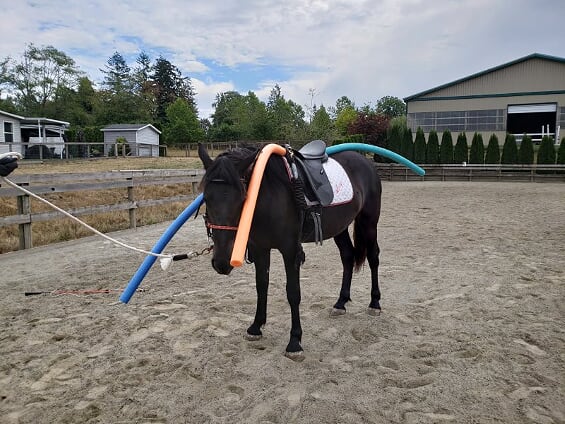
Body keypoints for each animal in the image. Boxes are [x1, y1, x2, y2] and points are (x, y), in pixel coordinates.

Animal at [198, 142, 382, 361]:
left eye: (242, 196)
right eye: (206, 197)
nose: (222, 262)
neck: (270, 196)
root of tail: (365, 162)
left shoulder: (290, 251)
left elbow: (293, 293)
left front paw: (295, 342)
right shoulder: (260, 249)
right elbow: (261, 286)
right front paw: (256, 327)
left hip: (369, 222)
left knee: (373, 257)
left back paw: (375, 303)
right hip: (340, 227)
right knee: (347, 256)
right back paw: (340, 303)